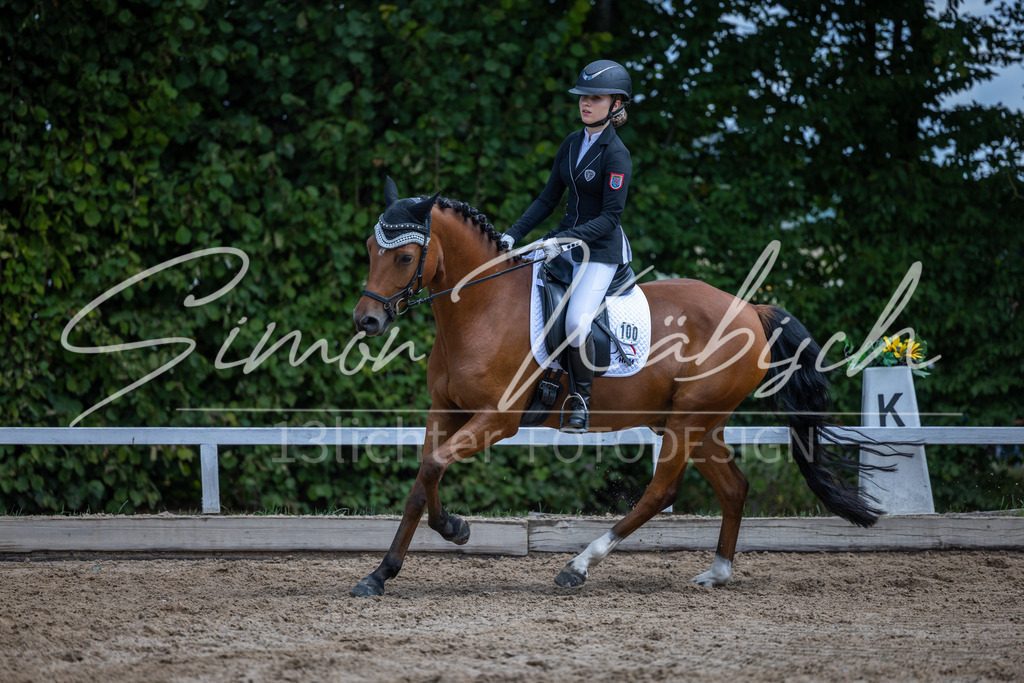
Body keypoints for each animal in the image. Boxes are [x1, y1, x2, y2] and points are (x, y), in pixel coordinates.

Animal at [349, 178, 885, 597]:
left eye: (404, 257)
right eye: (372, 251)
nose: (367, 320)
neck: (484, 307)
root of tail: (751, 310)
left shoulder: (497, 420)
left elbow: (433, 467)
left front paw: (455, 529)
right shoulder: (444, 410)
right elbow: (422, 481)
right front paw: (382, 573)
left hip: (689, 420)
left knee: (661, 491)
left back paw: (578, 566)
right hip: (696, 421)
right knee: (733, 488)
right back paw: (716, 573)